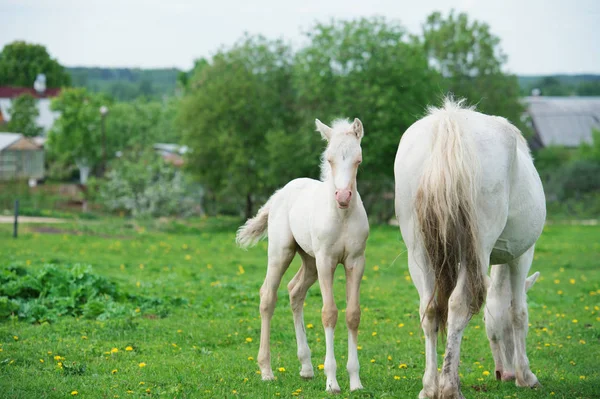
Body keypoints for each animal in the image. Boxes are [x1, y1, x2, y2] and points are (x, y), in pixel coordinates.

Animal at [236, 118, 368, 394]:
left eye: (358, 160)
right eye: (329, 159)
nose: (343, 197)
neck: (341, 216)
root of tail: (280, 193)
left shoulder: (356, 261)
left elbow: (353, 314)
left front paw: (355, 382)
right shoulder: (327, 261)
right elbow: (329, 313)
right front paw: (332, 382)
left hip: (309, 261)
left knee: (295, 291)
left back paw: (306, 367)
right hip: (282, 252)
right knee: (268, 296)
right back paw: (266, 371)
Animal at [396, 97, 548, 399]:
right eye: (495, 334)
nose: (504, 374)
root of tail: (449, 123)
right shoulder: (520, 256)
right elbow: (518, 312)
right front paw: (526, 377)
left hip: (419, 253)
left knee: (429, 310)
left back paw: (430, 387)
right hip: (475, 249)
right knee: (457, 306)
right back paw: (449, 387)